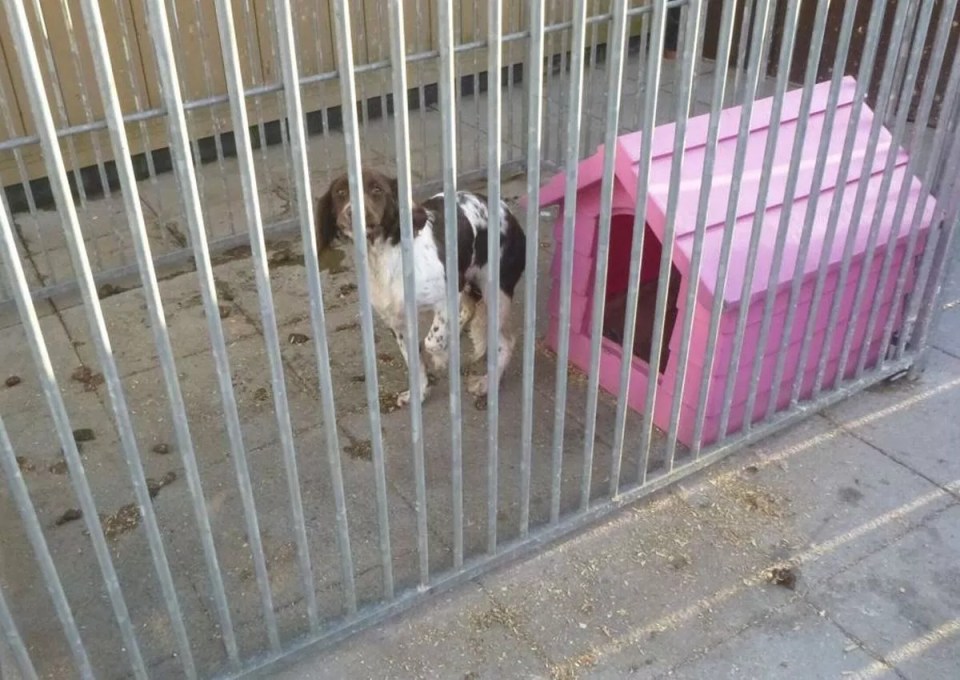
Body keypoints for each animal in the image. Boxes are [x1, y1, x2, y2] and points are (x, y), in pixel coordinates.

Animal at [316, 168, 524, 406]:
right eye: (340, 193)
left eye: (377, 189)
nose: (352, 213)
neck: (384, 257)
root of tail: (507, 211)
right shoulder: (397, 322)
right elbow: (414, 361)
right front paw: (420, 393)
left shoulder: (446, 297)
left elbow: (432, 341)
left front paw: (441, 359)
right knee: (468, 311)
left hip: (495, 292)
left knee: (506, 341)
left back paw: (487, 383)